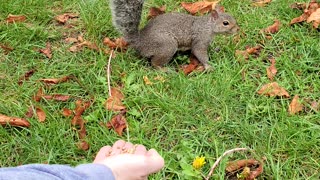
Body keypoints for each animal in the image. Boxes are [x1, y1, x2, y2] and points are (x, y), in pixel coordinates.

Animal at [109, 0, 239, 69]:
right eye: (225, 23)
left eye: (232, 16)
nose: (237, 29)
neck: (208, 26)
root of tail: (139, 41)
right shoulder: (200, 39)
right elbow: (199, 52)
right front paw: (209, 66)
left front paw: (216, 50)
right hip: (167, 45)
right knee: (154, 63)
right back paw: (166, 71)